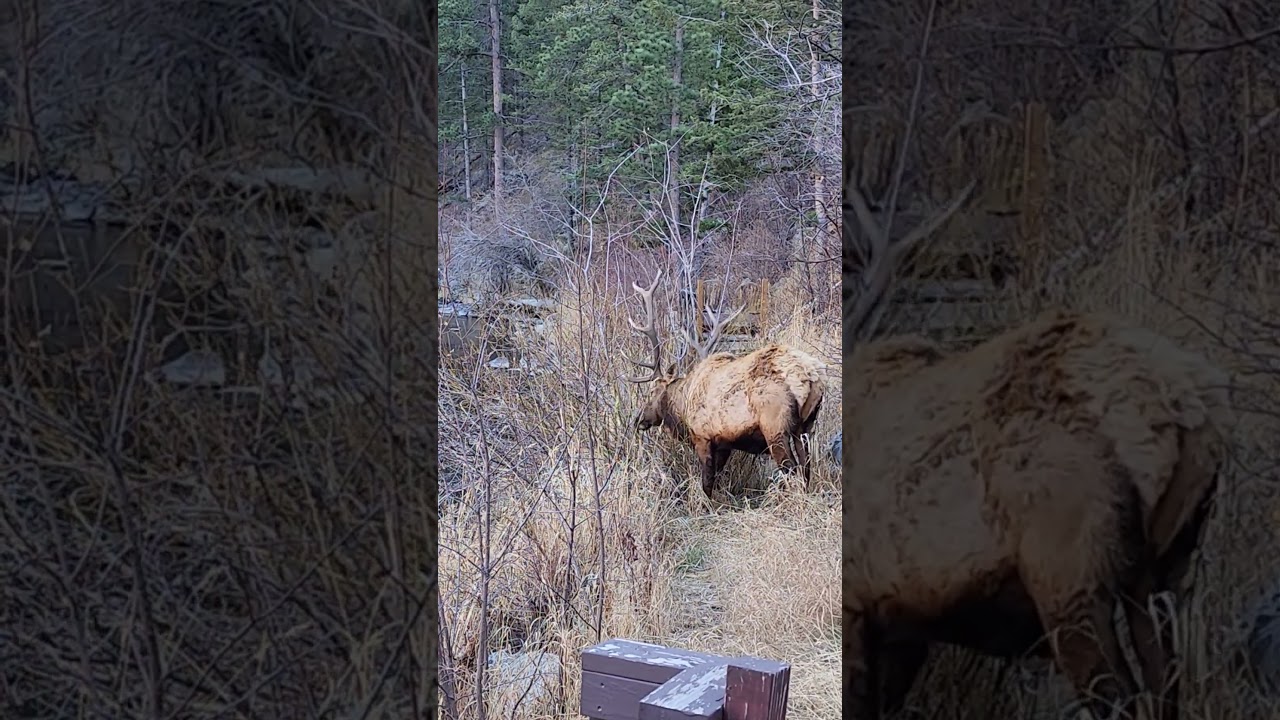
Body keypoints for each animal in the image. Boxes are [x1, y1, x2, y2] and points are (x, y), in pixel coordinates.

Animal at [624, 270, 827, 499]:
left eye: (651, 392)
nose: (638, 419)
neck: (682, 405)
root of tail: (811, 375)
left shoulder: (702, 436)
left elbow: (707, 482)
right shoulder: (724, 444)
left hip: (775, 427)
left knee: (791, 470)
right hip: (806, 425)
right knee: (806, 468)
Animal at [842, 178, 1234, 720]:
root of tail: (1185, 405)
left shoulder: (857, 602)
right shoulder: (904, 623)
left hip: (1067, 564)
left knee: (1119, 698)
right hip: (1166, 566)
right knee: (1166, 688)